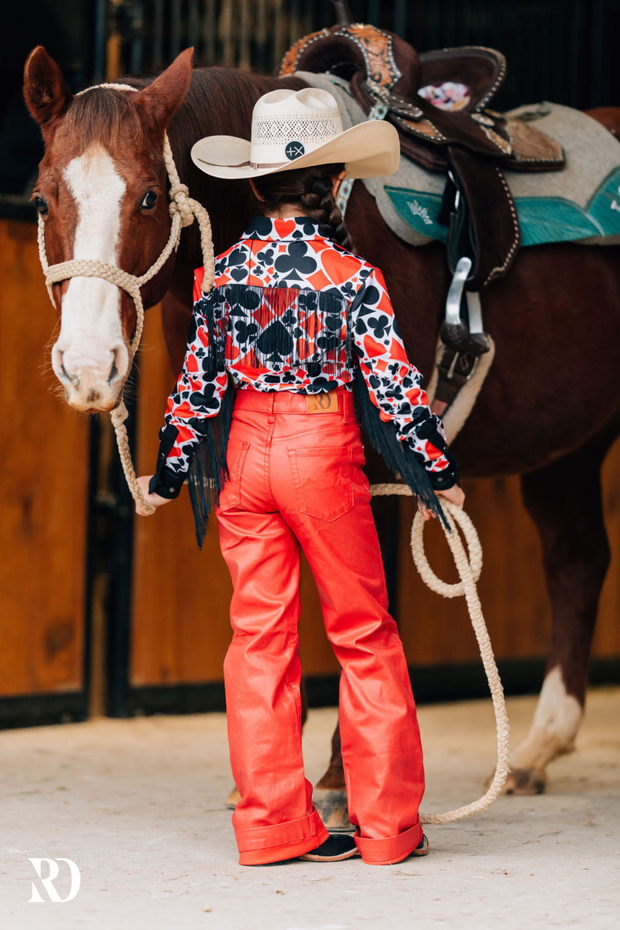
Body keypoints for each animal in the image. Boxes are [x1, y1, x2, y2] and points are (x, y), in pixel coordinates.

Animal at [21, 45, 620, 828]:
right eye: (40, 200)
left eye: (150, 197)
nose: (89, 366)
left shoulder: (381, 468)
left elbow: (365, 612)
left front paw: (341, 781)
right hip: (568, 448)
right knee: (577, 561)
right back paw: (537, 749)